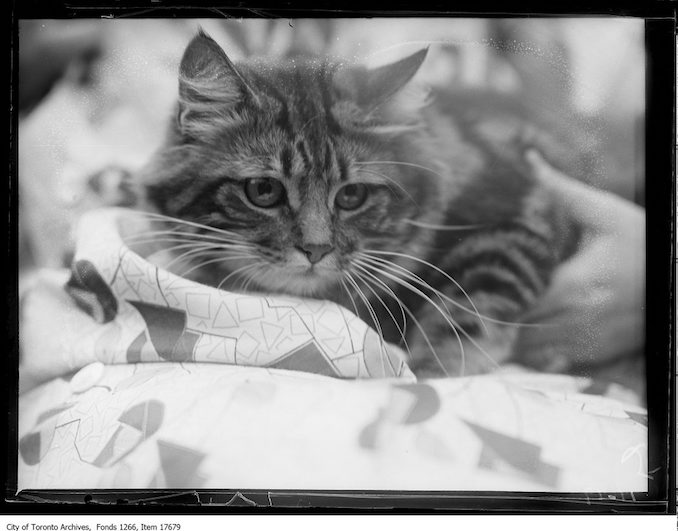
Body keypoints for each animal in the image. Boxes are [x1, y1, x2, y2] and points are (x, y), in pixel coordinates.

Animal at [135, 30, 580, 378]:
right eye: (263, 191)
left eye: (351, 196)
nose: (315, 250)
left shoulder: (517, 216)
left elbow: (466, 314)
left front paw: (429, 372)